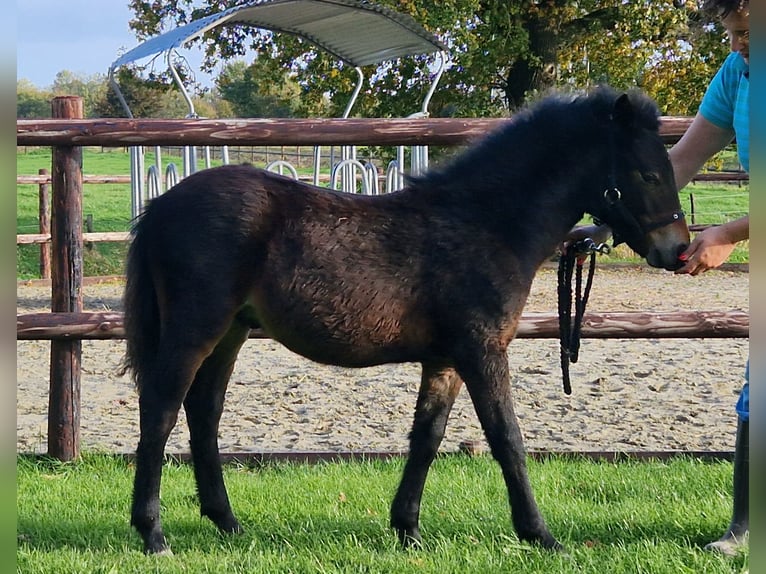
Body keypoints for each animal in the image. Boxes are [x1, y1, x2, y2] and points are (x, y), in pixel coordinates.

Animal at [122, 85, 690, 554]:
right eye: (647, 174)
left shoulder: (445, 360)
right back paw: (153, 535)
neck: (486, 224)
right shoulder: (482, 351)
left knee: (204, 411)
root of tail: (161, 205)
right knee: (162, 410)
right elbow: (507, 437)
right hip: (196, 326)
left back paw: (227, 522)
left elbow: (427, 437)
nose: (678, 249)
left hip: (232, 332)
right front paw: (541, 535)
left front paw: (408, 529)